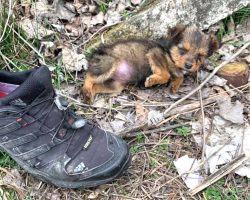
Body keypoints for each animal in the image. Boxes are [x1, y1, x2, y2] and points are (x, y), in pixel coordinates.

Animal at [82, 24, 219, 102]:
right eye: (182, 50)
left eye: (200, 56)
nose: (189, 65)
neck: (170, 52)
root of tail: (96, 52)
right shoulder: (155, 54)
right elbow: (166, 74)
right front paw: (153, 80)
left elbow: (179, 76)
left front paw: (174, 86)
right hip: (109, 64)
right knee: (89, 75)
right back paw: (86, 89)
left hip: (115, 86)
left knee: (96, 85)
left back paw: (89, 94)